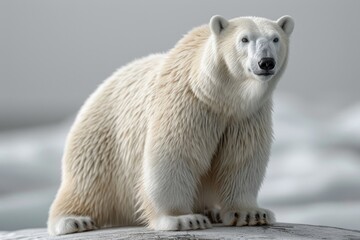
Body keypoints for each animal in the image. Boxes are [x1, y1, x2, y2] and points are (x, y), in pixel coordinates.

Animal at [47, 14, 294, 234]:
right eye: (244, 39)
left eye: (275, 38)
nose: (266, 62)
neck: (219, 96)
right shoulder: (187, 104)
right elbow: (174, 155)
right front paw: (183, 219)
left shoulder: (246, 117)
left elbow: (241, 160)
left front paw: (252, 214)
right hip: (101, 138)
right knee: (87, 181)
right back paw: (74, 220)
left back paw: (210, 210)